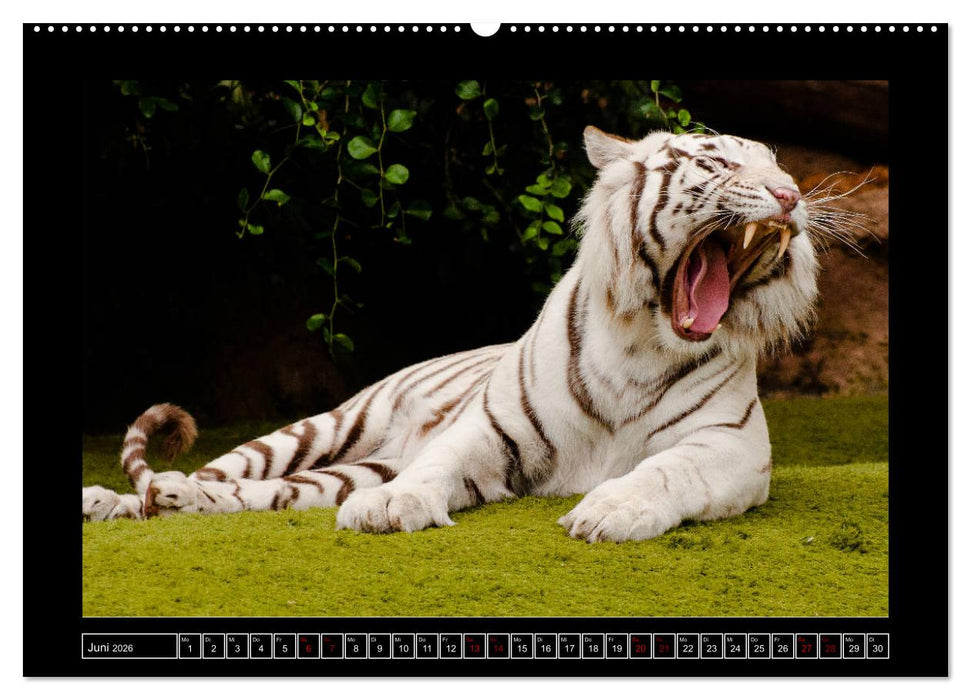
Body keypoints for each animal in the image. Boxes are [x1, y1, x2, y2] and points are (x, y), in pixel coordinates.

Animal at [82, 126, 820, 543]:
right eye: (721, 164)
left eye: (781, 169)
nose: (791, 195)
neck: (645, 340)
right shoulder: (492, 428)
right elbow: (437, 465)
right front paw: (391, 508)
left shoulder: (732, 447)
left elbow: (664, 470)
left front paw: (609, 512)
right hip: (320, 428)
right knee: (214, 471)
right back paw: (118, 499)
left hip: (340, 470)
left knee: (253, 495)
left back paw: (176, 501)